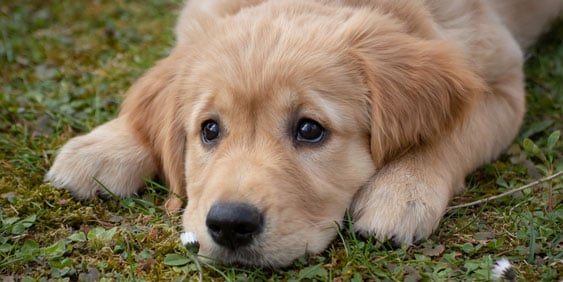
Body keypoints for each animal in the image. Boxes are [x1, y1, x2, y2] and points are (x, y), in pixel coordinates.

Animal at [45, 0, 563, 266]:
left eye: (310, 130)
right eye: (209, 130)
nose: (229, 224)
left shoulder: (501, 83)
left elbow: (448, 134)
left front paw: (401, 190)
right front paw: (105, 146)